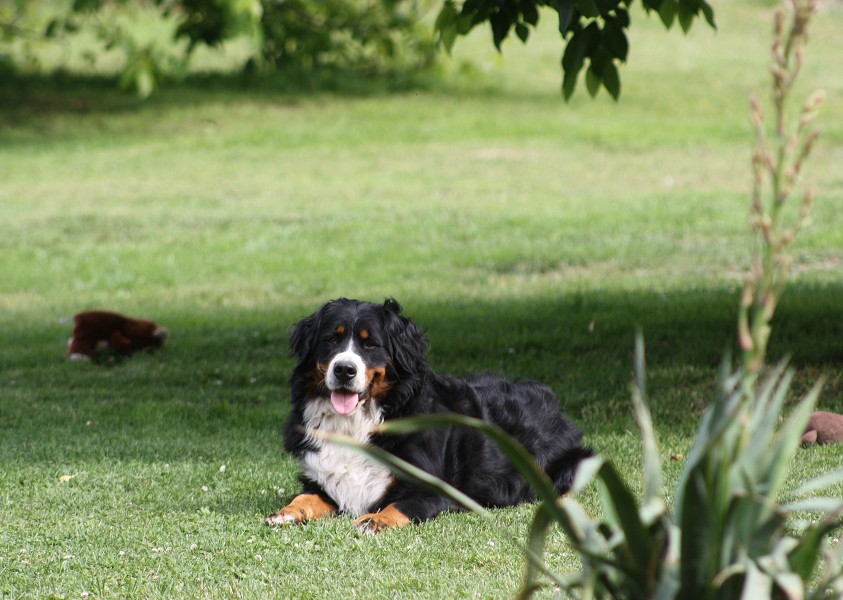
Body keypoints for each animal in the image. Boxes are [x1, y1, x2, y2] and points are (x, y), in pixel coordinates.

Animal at [266, 298, 592, 532]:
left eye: (370, 344)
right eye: (331, 340)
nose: (344, 369)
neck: (358, 423)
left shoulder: (433, 490)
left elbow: (397, 506)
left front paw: (375, 520)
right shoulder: (322, 480)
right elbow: (306, 495)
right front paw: (286, 512)